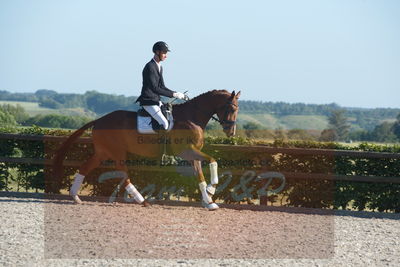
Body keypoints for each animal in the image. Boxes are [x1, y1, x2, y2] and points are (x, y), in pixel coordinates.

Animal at [53, 90, 241, 211]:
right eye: (232, 108)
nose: (231, 132)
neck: (192, 117)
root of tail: (99, 120)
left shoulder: (192, 154)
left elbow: (200, 176)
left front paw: (209, 201)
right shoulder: (186, 150)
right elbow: (212, 161)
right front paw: (212, 190)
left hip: (102, 152)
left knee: (85, 168)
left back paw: (75, 197)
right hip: (117, 152)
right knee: (124, 175)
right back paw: (142, 201)